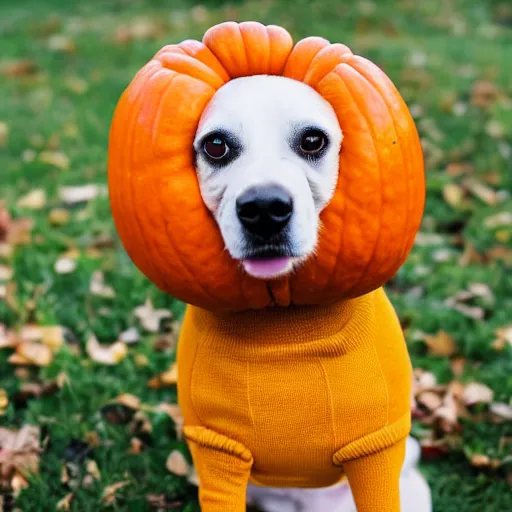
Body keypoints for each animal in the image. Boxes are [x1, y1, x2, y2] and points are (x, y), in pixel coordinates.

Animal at [192, 76, 432, 512]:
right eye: (216, 146)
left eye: (312, 140)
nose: (264, 208)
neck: (284, 320)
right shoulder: (214, 448)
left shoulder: (378, 448)